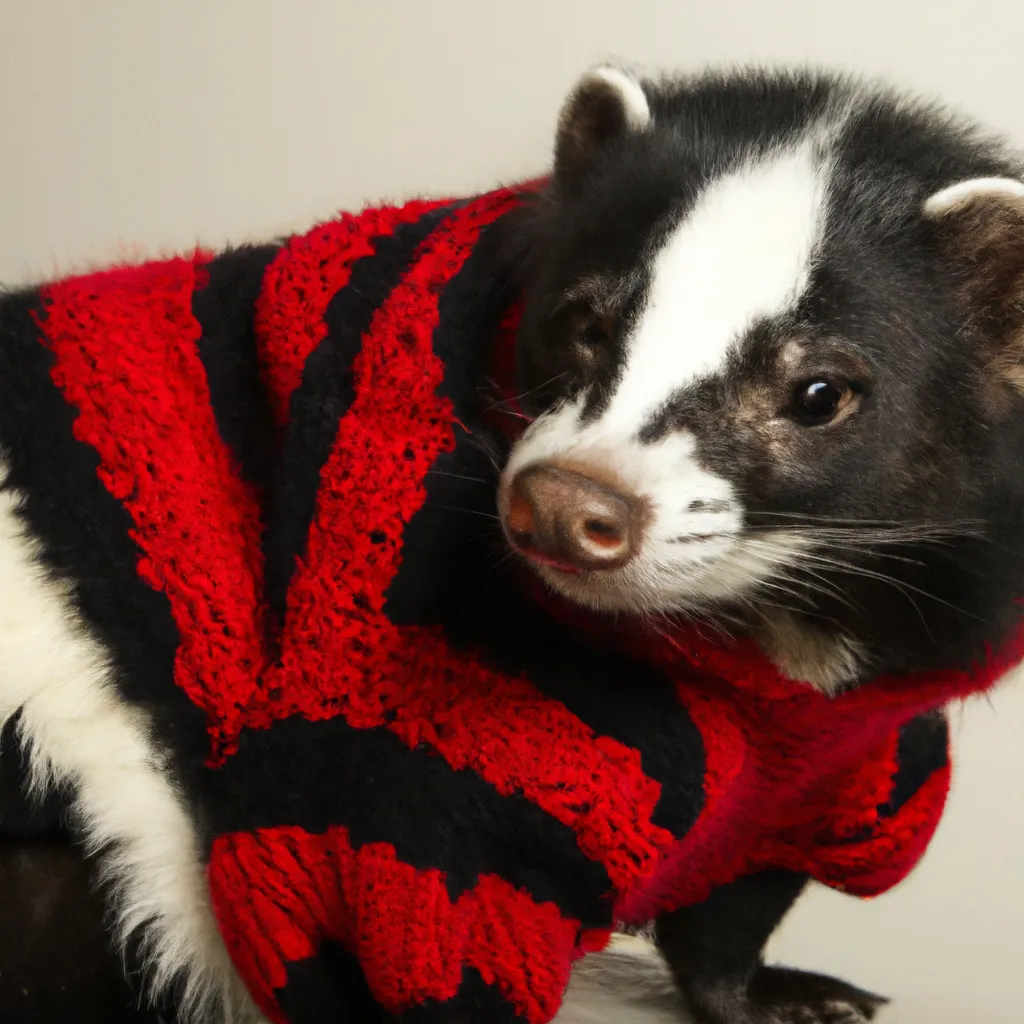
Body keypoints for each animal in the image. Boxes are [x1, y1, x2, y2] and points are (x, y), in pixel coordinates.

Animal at [0, 64, 1019, 1024]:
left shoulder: (832, 766)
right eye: (584, 323)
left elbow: (738, 904)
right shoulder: (437, 723)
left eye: (820, 392)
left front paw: (782, 995)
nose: (567, 500)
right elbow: (406, 897)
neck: (769, 638)